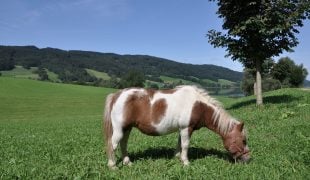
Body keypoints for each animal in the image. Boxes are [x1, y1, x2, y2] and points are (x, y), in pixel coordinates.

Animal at [103, 86, 251, 169]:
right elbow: (185, 145)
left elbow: (179, 144)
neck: (199, 105)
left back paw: (127, 163)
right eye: (243, 141)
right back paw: (113, 166)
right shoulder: (186, 128)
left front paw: (177, 157)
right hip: (119, 129)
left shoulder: (182, 129)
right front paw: (186, 162)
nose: (248, 159)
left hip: (127, 128)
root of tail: (116, 95)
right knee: (112, 145)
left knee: (123, 144)